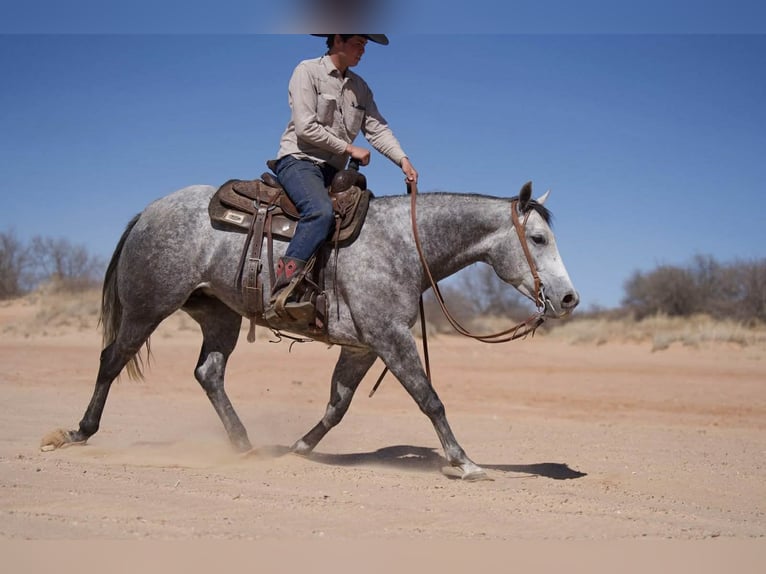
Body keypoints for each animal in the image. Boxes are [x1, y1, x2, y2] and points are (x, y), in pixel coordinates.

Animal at [41, 180, 579, 480]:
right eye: (537, 238)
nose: (569, 298)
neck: (403, 244)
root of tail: (147, 212)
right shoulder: (390, 338)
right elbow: (430, 399)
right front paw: (465, 462)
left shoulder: (363, 347)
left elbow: (337, 406)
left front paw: (297, 449)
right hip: (148, 307)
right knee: (112, 360)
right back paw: (76, 432)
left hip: (219, 315)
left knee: (209, 372)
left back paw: (244, 446)